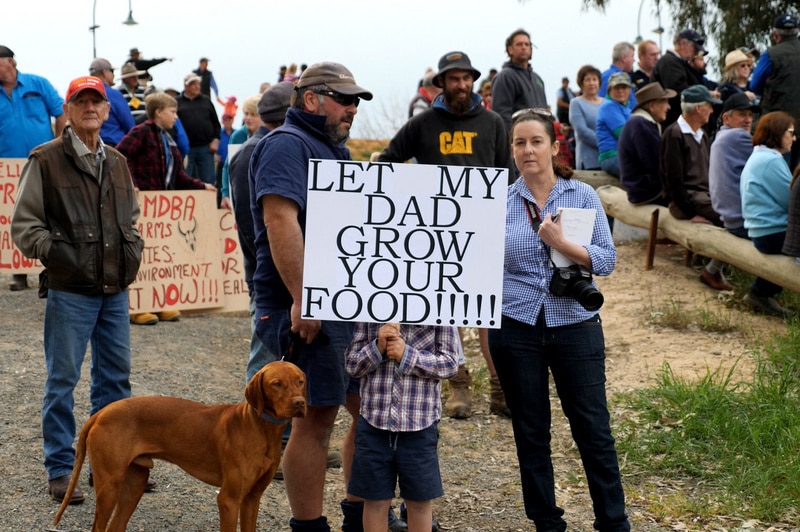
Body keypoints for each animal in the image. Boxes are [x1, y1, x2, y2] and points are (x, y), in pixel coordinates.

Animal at [50, 360, 306, 528]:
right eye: (276, 384)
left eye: (301, 381)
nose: (300, 403)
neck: (261, 429)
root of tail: (101, 413)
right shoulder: (229, 500)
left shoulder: (252, 499)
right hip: (110, 485)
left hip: (135, 483)